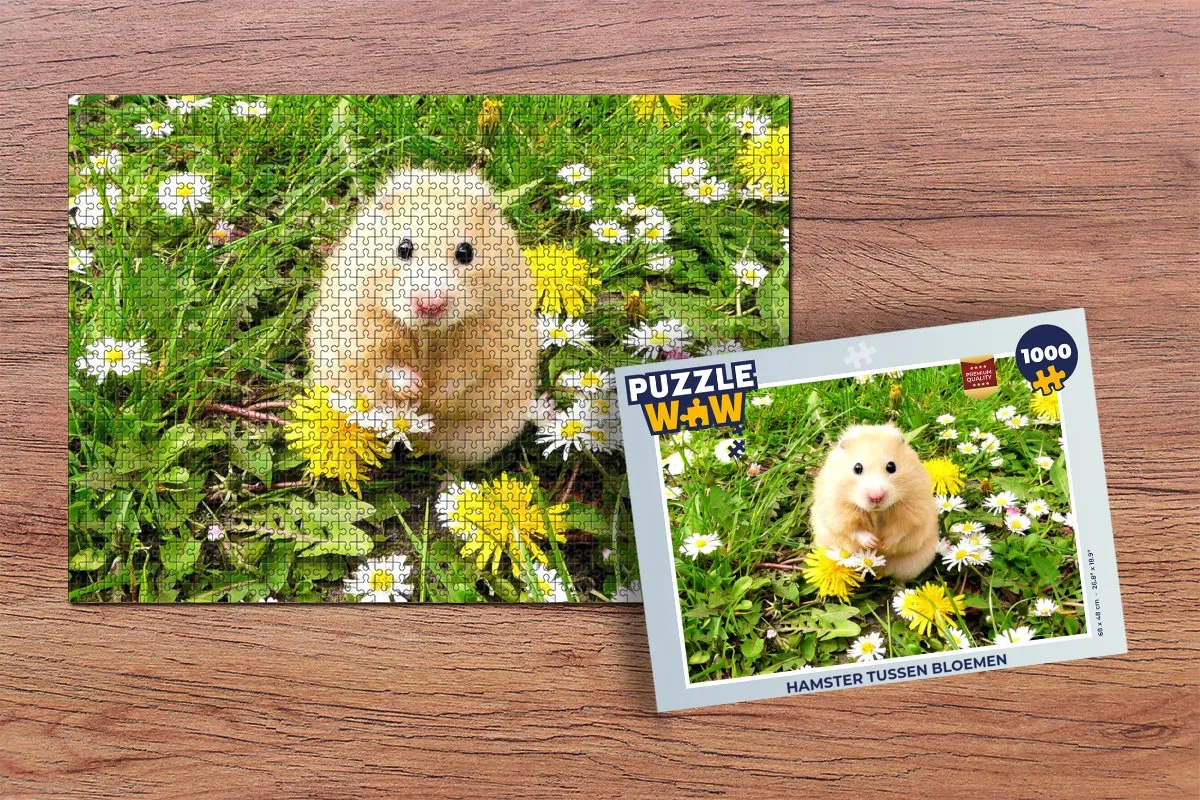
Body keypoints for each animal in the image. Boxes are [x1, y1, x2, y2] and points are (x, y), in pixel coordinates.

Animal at [307, 168, 537, 466]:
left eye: (466, 252)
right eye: (404, 248)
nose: (430, 305)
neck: (428, 332)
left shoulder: (495, 343)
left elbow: (463, 374)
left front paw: (431, 398)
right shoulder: (356, 328)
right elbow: (382, 364)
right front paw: (416, 389)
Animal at [810, 423, 938, 581]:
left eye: (891, 466)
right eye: (857, 468)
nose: (876, 497)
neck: (877, 512)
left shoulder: (913, 509)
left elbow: (902, 530)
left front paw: (883, 545)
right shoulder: (838, 509)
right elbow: (852, 529)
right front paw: (873, 542)